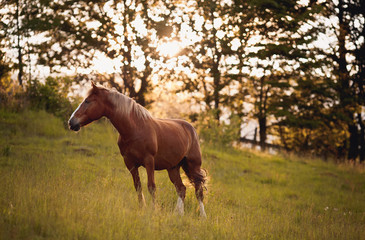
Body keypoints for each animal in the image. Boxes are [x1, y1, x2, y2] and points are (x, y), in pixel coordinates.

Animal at [68, 82, 205, 218]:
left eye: (87, 101)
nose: (71, 122)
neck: (135, 129)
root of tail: (191, 129)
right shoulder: (130, 163)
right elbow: (138, 186)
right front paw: (141, 209)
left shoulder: (149, 161)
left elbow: (151, 187)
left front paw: (153, 210)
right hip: (173, 167)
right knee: (181, 189)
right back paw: (179, 214)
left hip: (193, 165)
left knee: (198, 190)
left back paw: (203, 216)